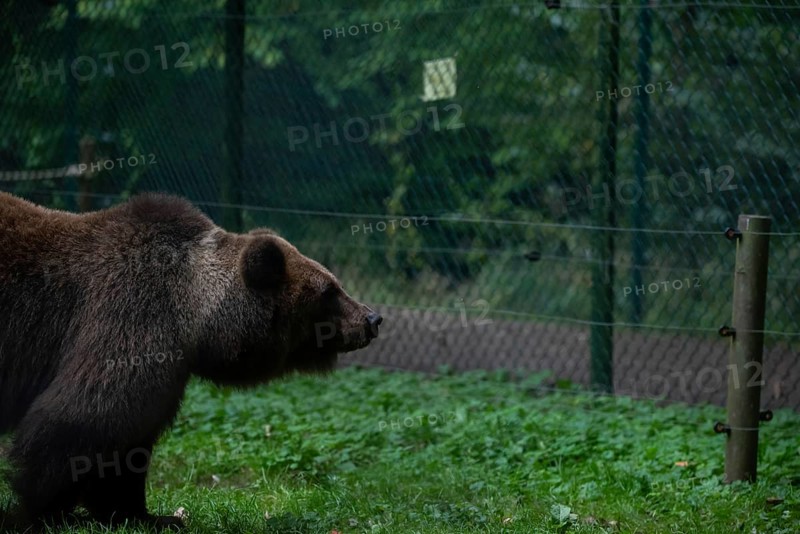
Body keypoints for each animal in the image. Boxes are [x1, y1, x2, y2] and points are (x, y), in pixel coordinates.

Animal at [0, 191, 382, 530]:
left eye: (336, 284)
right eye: (329, 291)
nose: (372, 318)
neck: (196, 319)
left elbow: (128, 445)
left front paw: (148, 515)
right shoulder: (129, 317)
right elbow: (81, 418)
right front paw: (37, 512)